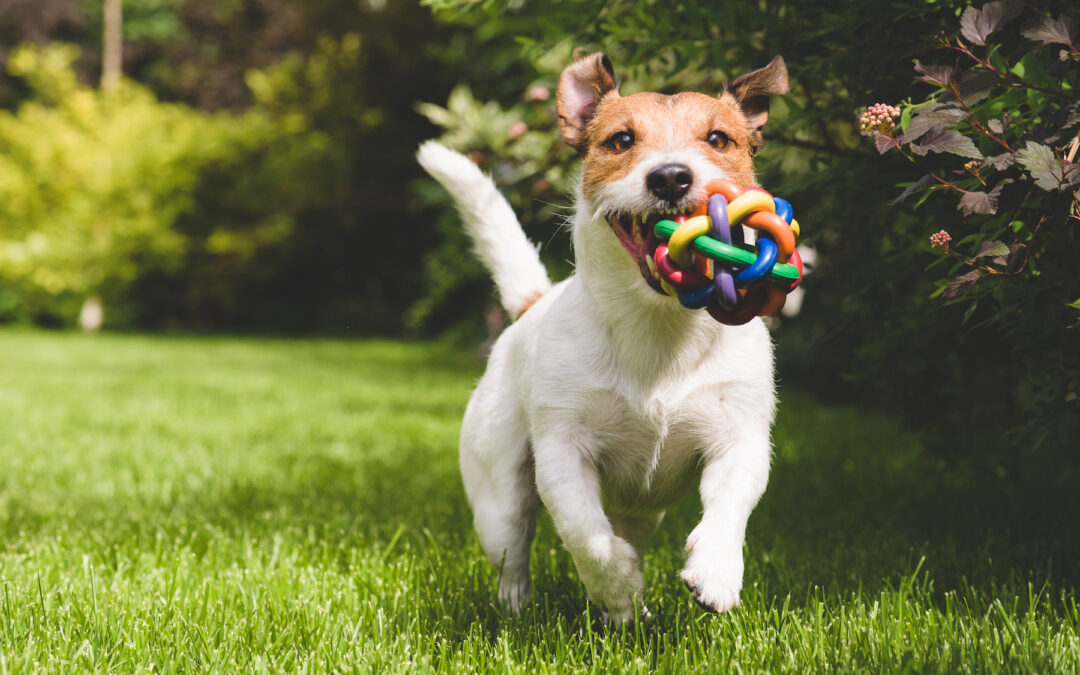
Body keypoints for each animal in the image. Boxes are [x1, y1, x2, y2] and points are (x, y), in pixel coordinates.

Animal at [416, 52, 790, 622]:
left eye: (719, 138)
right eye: (621, 140)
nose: (671, 176)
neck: (657, 325)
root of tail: (532, 304)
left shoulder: (739, 437)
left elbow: (730, 507)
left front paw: (716, 572)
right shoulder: (561, 451)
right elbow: (584, 533)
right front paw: (616, 585)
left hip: (644, 509)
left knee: (631, 530)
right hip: (498, 494)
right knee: (514, 552)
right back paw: (530, 606)